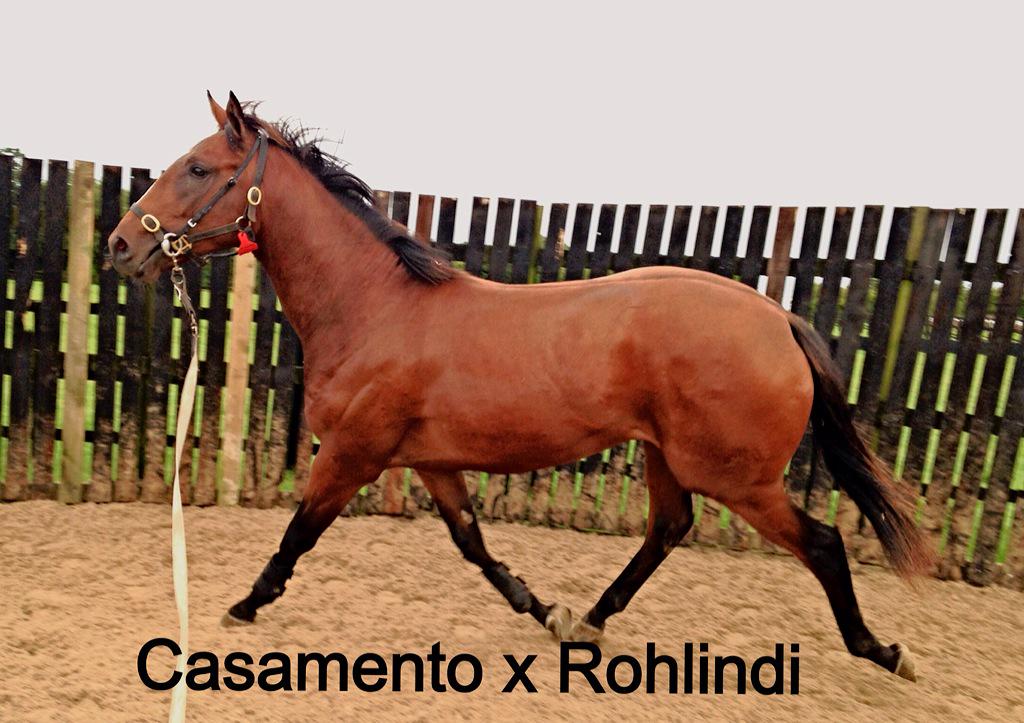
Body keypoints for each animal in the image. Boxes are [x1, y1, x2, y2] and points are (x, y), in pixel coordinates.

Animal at [108, 92, 929, 682]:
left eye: (198, 168)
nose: (121, 245)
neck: (376, 305)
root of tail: (777, 318)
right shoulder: (432, 462)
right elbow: (474, 544)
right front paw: (541, 609)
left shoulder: (352, 453)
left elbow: (298, 533)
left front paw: (243, 606)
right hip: (669, 457)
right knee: (668, 528)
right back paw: (588, 622)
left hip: (738, 477)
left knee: (821, 543)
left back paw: (884, 651)